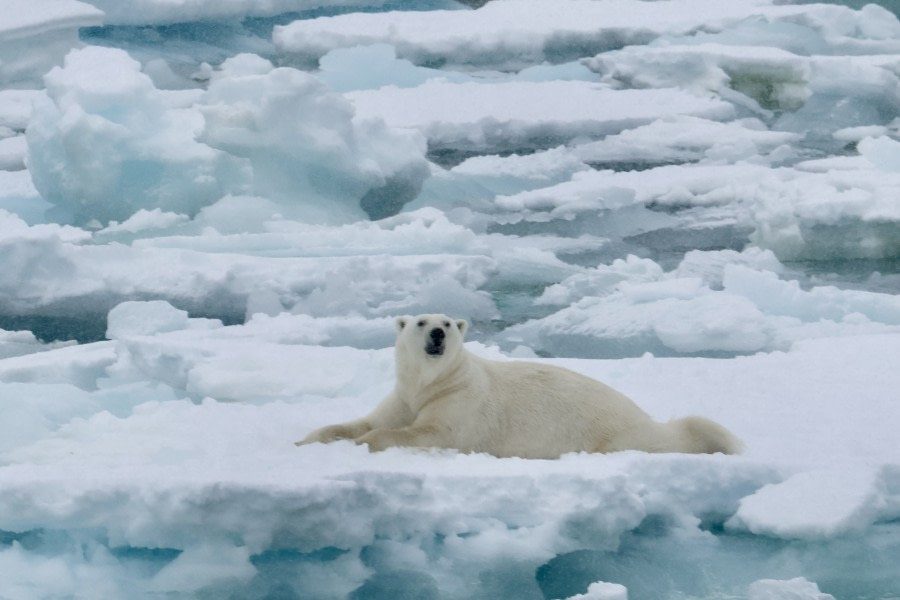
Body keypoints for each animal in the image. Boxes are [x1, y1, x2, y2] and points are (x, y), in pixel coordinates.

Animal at [296, 313, 741, 458]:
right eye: (421, 321)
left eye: (448, 322)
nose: (438, 333)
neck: (431, 384)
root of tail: (642, 415)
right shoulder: (403, 398)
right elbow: (367, 421)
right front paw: (308, 439)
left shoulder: (462, 404)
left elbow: (430, 432)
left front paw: (362, 444)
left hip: (614, 433)